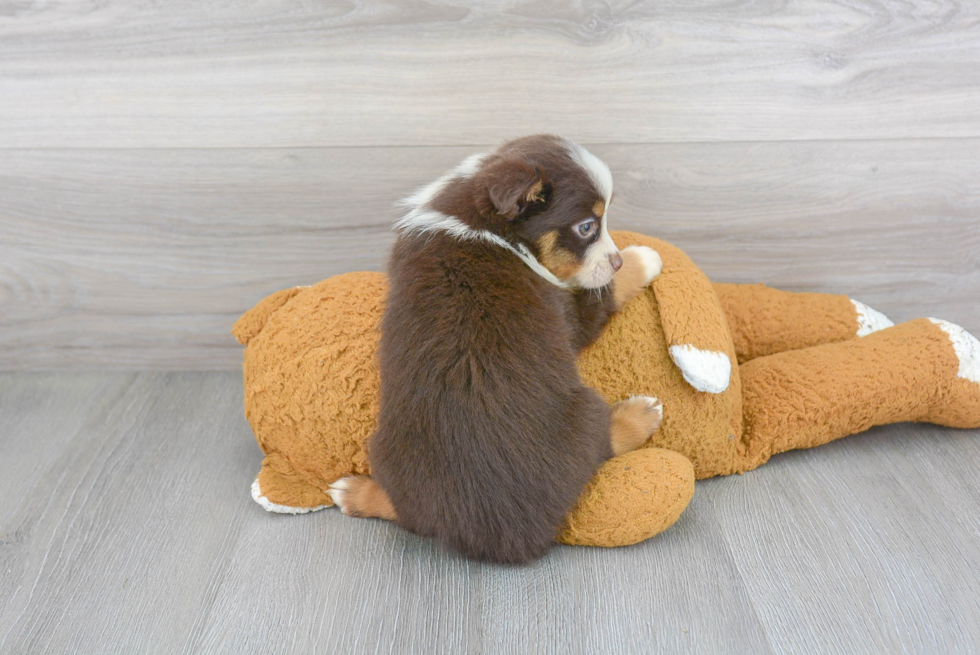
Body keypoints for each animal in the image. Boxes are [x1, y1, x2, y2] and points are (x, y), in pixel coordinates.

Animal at [332, 133, 668, 564]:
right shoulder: (569, 315)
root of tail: (494, 531)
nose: (617, 260)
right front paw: (642, 259)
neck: (482, 221)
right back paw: (640, 414)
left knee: (410, 512)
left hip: (386, 450)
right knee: (602, 445)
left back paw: (353, 492)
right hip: (584, 410)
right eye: (587, 227)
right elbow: (603, 295)